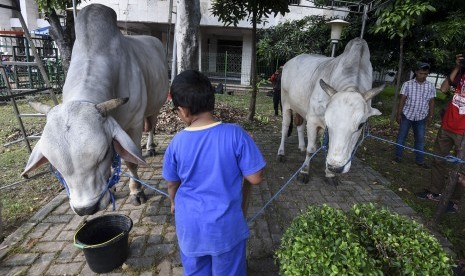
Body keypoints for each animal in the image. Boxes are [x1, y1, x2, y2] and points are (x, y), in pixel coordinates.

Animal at [20, 4, 169, 216]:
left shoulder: (134, 123)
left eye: (103, 154)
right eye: (54, 165)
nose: (86, 209)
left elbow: (131, 161)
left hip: (155, 106)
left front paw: (136, 191)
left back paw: (150, 147)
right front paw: (111, 187)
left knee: (152, 126)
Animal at [278, 37, 382, 183]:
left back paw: (301, 146)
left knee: (300, 125)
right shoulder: (313, 120)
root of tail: (289, 61)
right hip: (286, 103)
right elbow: (311, 149)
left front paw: (329, 174)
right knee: (285, 127)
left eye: (361, 125)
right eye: (329, 121)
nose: (336, 167)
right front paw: (304, 171)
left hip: (301, 108)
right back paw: (281, 153)